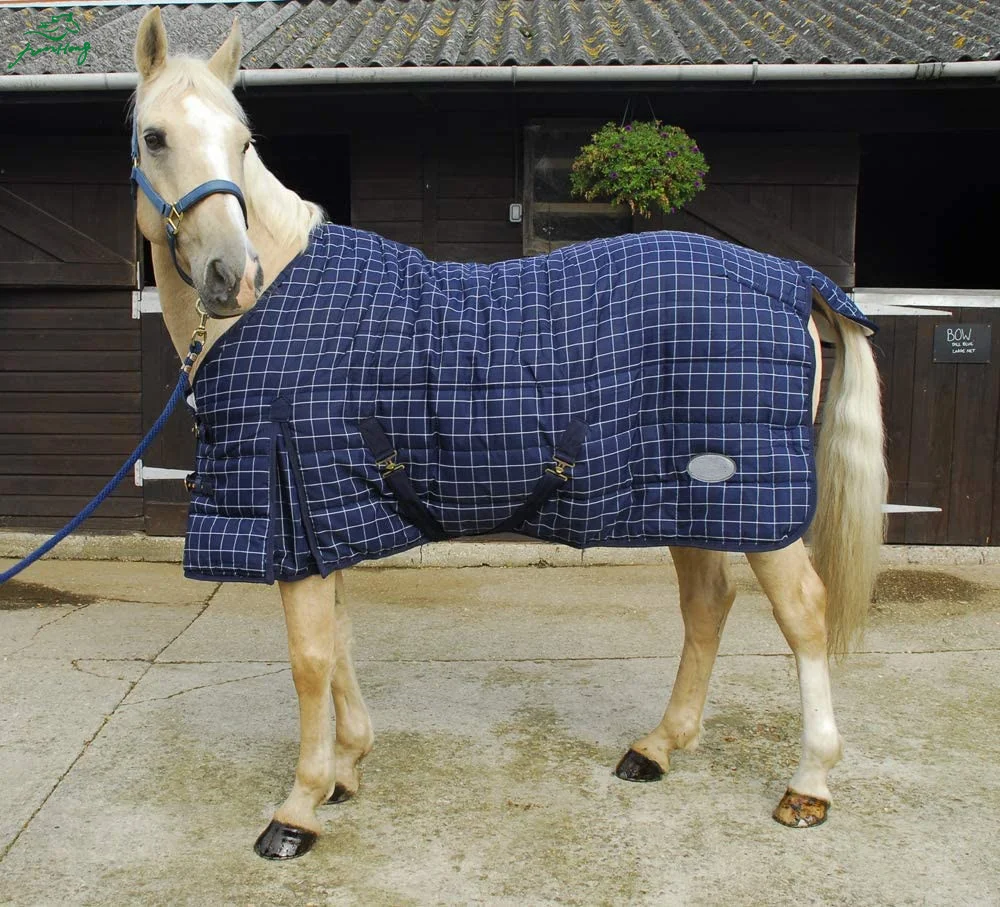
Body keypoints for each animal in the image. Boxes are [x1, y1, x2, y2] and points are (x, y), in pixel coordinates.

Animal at [131, 9, 886, 860]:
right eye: (155, 136)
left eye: (243, 140)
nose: (233, 275)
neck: (282, 303)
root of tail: (790, 277)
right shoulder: (325, 516)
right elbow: (342, 644)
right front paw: (346, 769)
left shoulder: (296, 508)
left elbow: (310, 660)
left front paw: (298, 806)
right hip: (692, 499)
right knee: (707, 604)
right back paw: (658, 746)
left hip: (758, 505)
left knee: (804, 617)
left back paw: (809, 783)